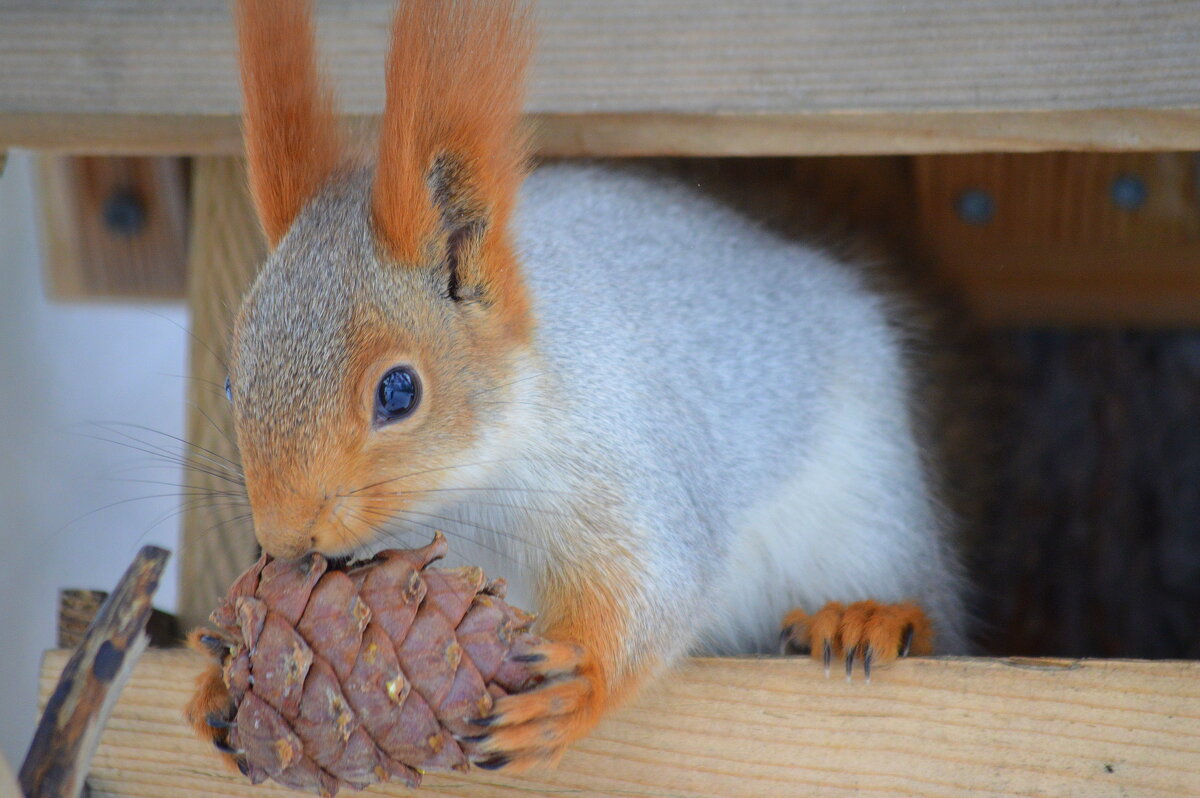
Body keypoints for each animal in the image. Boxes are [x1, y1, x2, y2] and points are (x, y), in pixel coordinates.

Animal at [189, 0, 974, 772]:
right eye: (231, 384)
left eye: (399, 393)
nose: (284, 541)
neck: (469, 488)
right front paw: (218, 681)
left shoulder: (615, 454)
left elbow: (654, 585)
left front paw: (571, 691)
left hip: (873, 506)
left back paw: (867, 615)